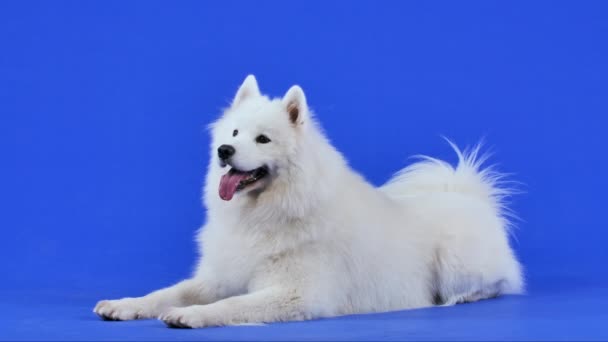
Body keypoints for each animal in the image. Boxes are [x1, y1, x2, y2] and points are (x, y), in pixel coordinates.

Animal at [94, 75, 524, 328]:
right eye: (233, 133)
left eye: (262, 139)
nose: (224, 151)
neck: (265, 214)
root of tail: (465, 194)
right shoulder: (220, 276)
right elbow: (167, 291)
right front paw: (125, 304)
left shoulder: (296, 293)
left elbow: (230, 307)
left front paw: (190, 315)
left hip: (456, 262)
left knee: (498, 284)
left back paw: (460, 298)